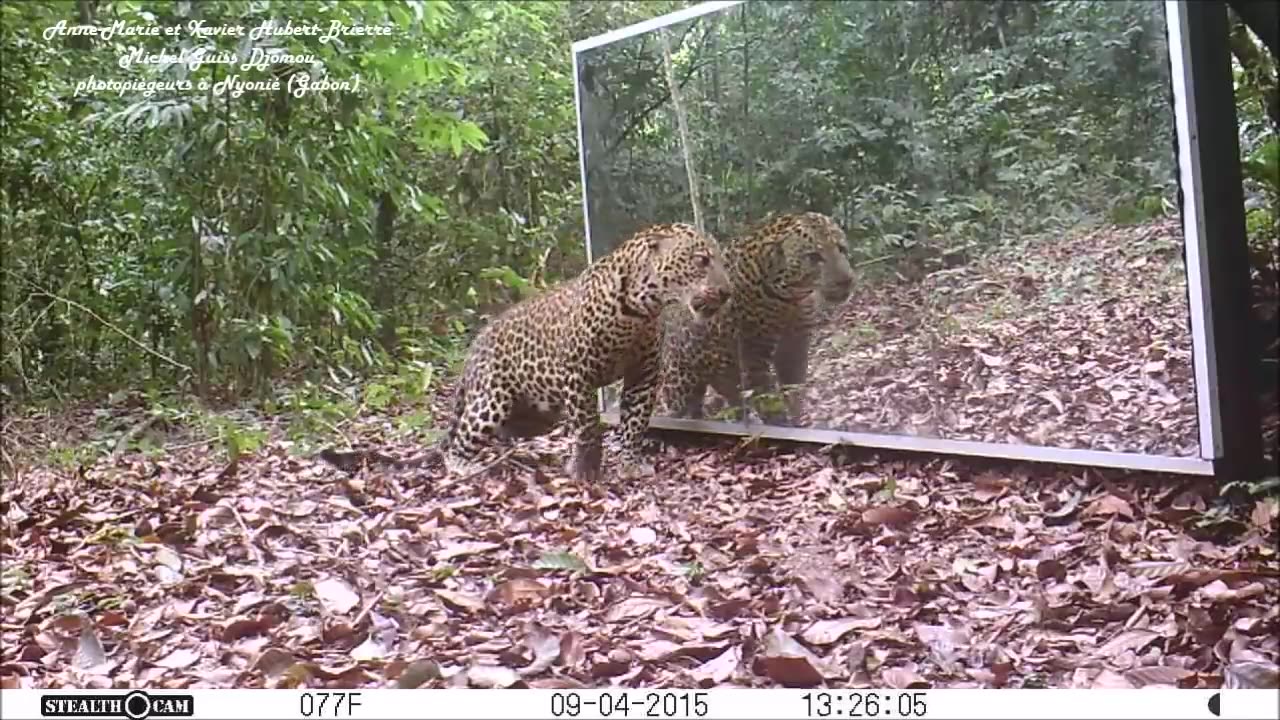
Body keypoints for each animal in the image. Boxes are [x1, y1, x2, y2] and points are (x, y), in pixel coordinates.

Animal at [322, 224, 732, 481]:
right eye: (701, 260)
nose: (727, 291)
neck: (640, 309)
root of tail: (472, 352)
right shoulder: (577, 373)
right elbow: (588, 426)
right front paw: (585, 469)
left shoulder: (643, 375)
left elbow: (634, 423)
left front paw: (630, 461)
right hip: (493, 399)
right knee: (459, 442)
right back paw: (467, 467)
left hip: (537, 416)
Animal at [655, 210, 855, 422]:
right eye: (814, 257)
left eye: (842, 249)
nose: (846, 280)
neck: (792, 299)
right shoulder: (752, 355)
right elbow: (767, 397)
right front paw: (779, 422)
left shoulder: (795, 345)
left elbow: (794, 390)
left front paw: (797, 417)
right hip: (680, 384)